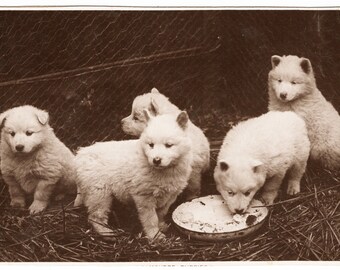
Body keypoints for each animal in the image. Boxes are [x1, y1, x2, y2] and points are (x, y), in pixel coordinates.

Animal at [74, 109, 193, 240]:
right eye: (151, 144)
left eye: (168, 145)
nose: (156, 160)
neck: (164, 171)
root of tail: (80, 155)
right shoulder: (144, 197)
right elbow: (151, 219)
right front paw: (154, 236)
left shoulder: (170, 195)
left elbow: (161, 213)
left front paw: (161, 226)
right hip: (99, 193)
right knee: (95, 217)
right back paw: (107, 233)